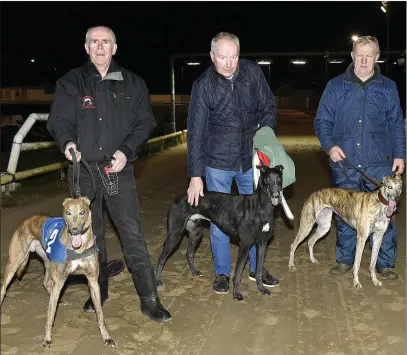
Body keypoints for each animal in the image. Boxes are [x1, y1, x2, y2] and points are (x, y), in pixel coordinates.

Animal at [155, 165, 294, 300]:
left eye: (279, 179)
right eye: (267, 179)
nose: (276, 195)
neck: (261, 206)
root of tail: (177, 199)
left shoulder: (262, 243)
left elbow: (259, 271)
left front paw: (262, 289)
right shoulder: (245, 244)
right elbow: (238, 273)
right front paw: (236, 294)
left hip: (196, 233)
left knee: (189, 253)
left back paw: (194, 272)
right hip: (175, 235)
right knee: (162, 257)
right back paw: (157, 281)